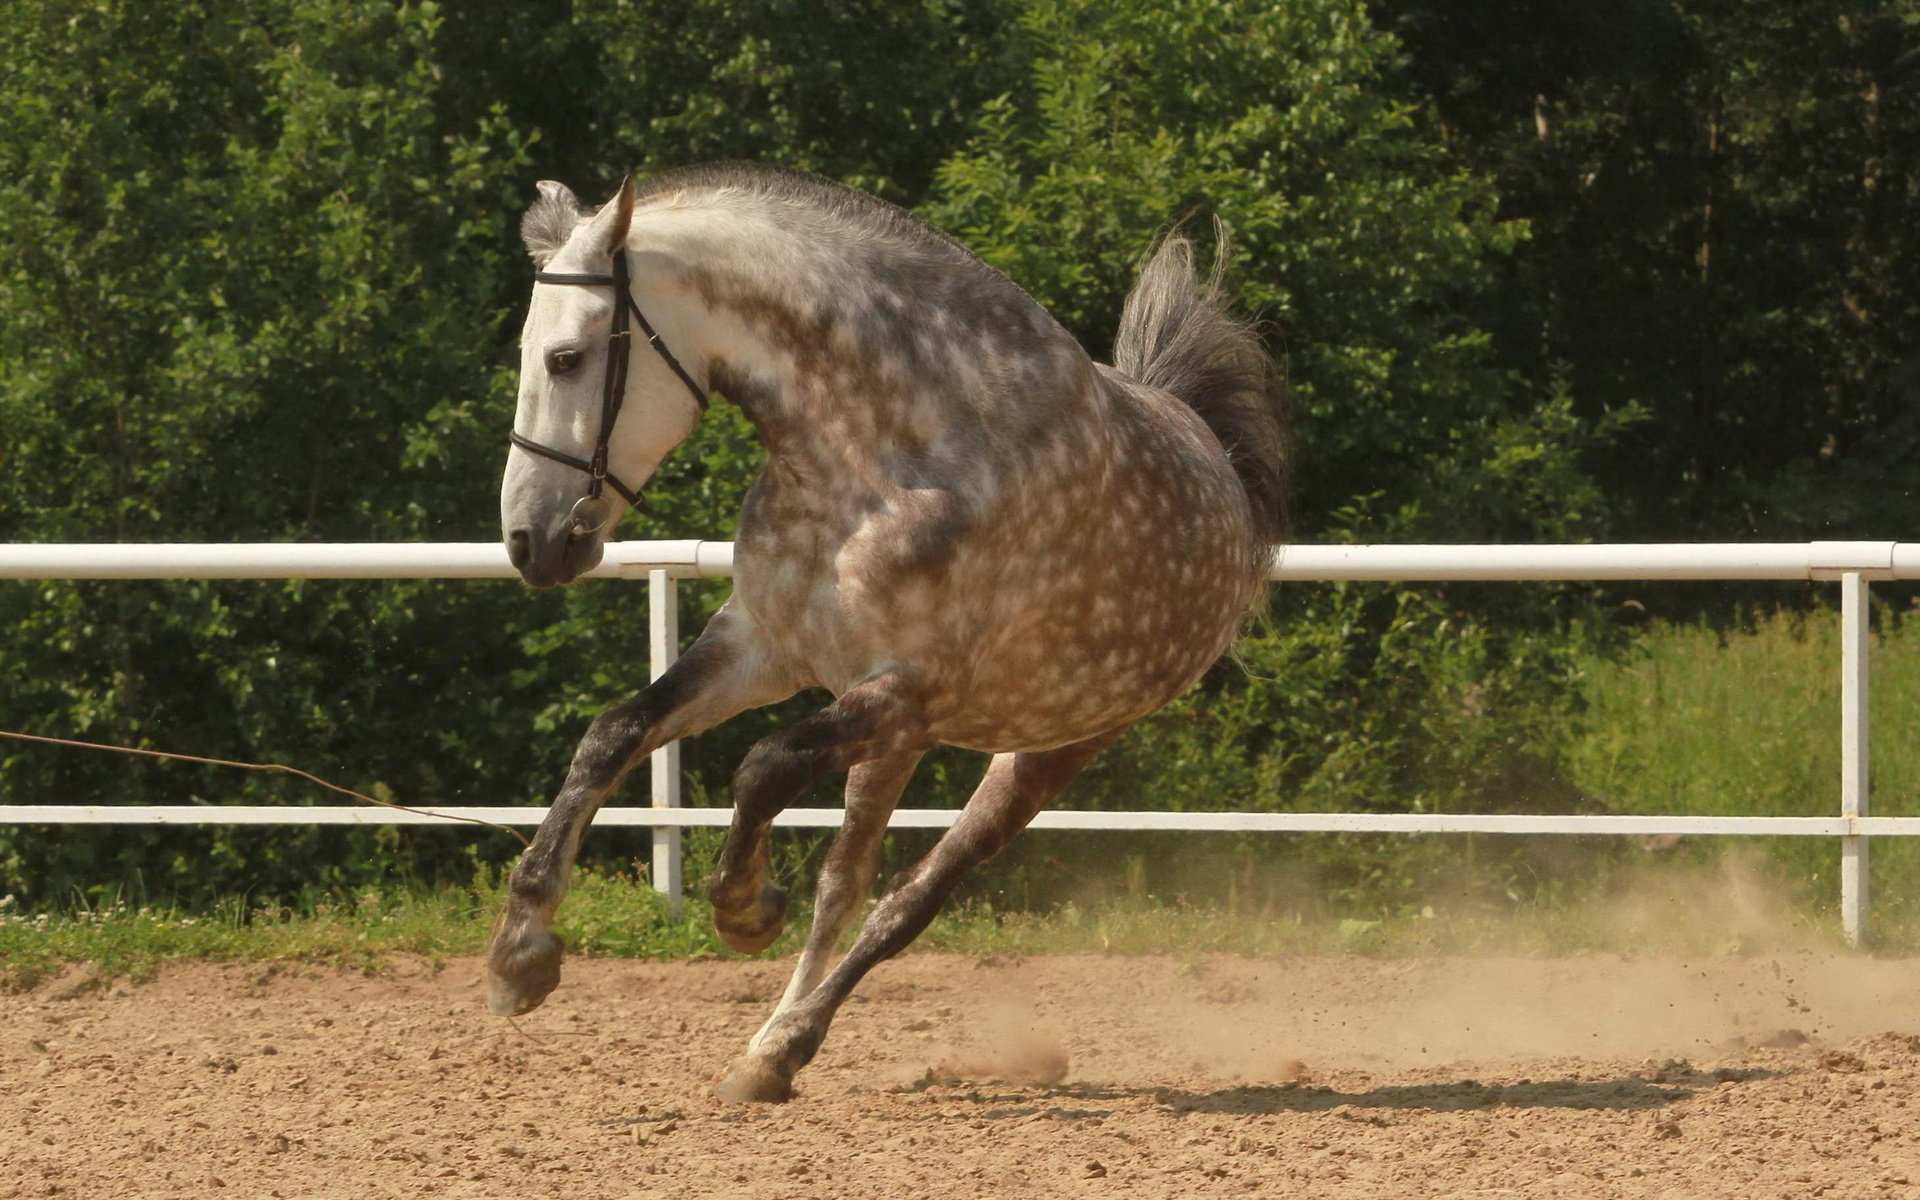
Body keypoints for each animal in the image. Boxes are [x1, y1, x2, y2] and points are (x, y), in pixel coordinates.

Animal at [487, 164, 1282, 1098]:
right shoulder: (762, 646)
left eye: (567, 359)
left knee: (908, 898)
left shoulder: (908, 688)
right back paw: (766, 1051)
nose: (530, 542)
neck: (880, 457)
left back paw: (786, 1042)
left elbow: (764, 766)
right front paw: (521, 953)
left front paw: (745, 909)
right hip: (897, 743)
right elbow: (614, 735)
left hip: (1040, 750)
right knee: (847, 882)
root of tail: (1211, 453)